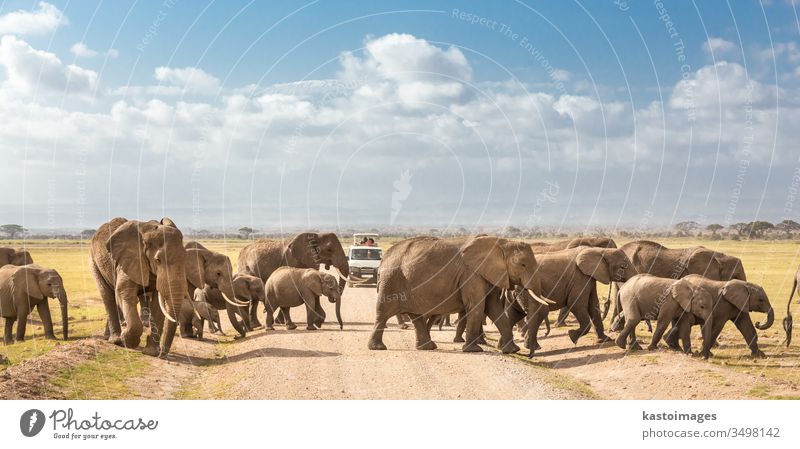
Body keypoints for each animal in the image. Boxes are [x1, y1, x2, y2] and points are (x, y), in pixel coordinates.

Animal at [88, 217, 188, 356]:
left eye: (185, 258)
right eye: (158, 260)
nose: (162, 353)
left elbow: (157, 304)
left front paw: (151, 352)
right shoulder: (128, 261)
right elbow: (125, 294)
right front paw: (127, 341)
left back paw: (109, 337)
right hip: (95, 263)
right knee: (107, 296)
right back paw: (116, 340)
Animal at [370, 234, 552, 354]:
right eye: (523, 265)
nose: (531, 353)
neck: (501, 242)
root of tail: (383, 258)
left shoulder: (487, 274)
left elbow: (493, 308)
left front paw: (512, 350)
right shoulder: (471, 274)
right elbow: (477, 306)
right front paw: (474, 350)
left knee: (415, 316)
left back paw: (428, 347)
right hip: (391, 281)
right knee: (383, 313)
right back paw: (378, 348)